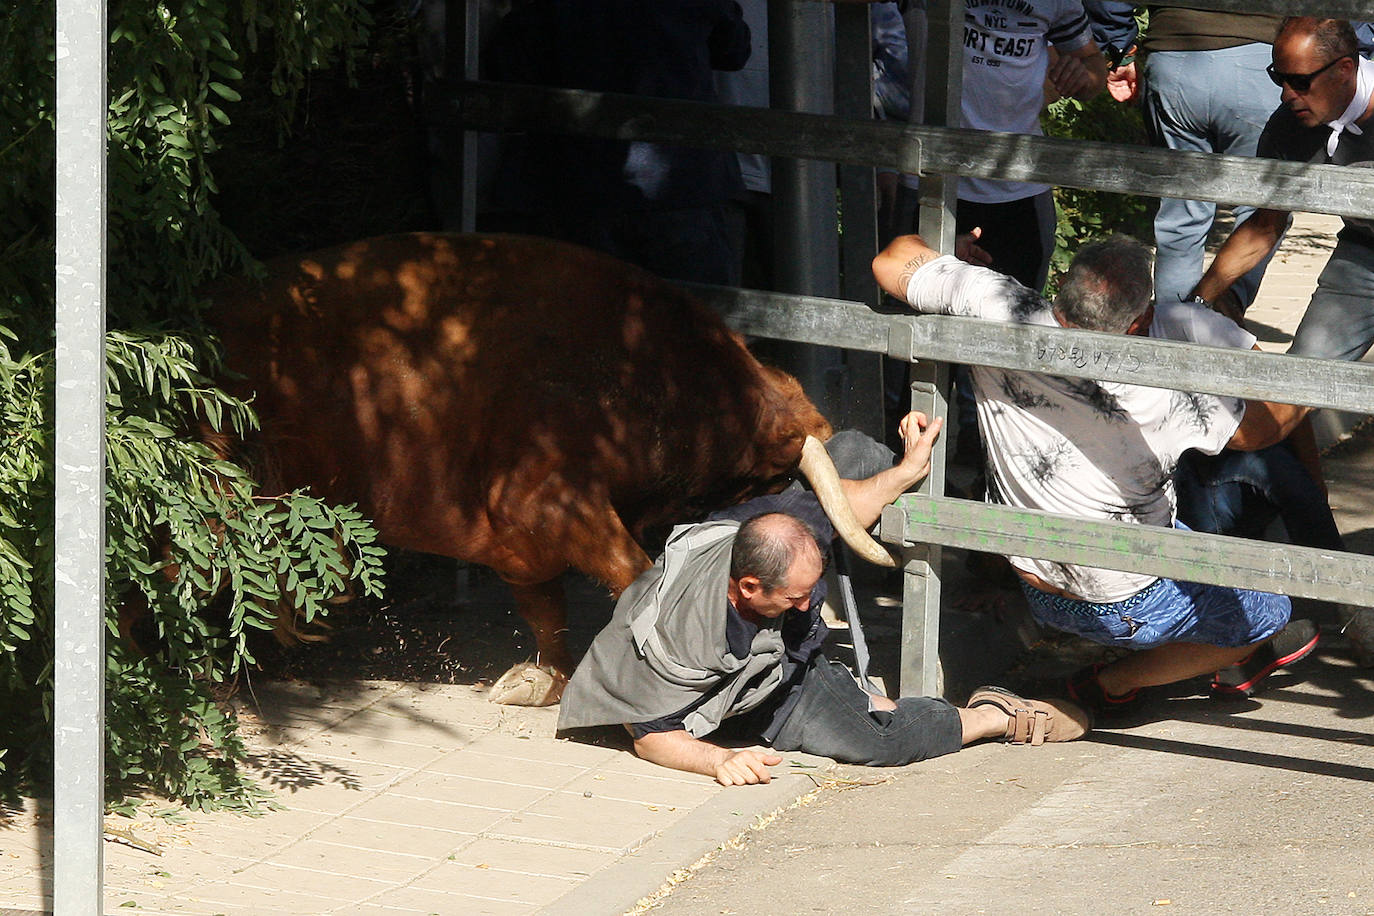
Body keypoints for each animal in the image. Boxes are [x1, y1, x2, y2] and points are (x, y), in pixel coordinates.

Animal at [207, 233, 862, 708]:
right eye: (778, 480)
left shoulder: (521, 539)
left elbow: (549, 610)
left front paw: (540, 682)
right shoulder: (549, 500)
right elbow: (631, 575)